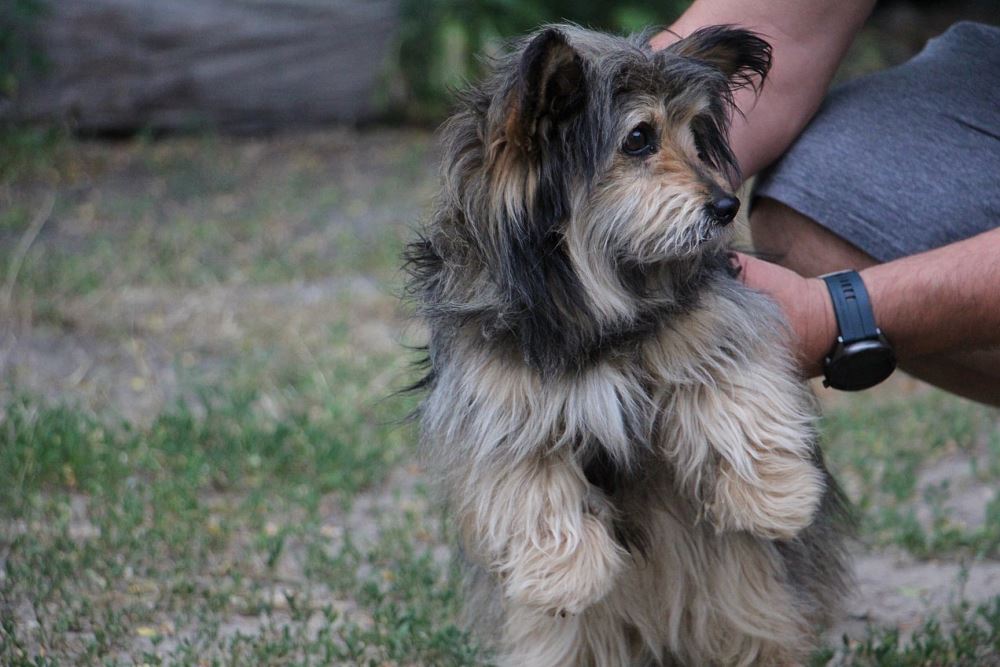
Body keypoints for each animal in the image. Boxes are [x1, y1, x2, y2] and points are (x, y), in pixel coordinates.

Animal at [404, 24, 851, 666]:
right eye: (639, 138)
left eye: (696, 135)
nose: (726, 206)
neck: (599, 313)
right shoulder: (492, 396)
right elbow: (526, 479)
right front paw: (564, 573)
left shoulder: (716, 316)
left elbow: (736, 392)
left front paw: (775, 495)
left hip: (744, 601)